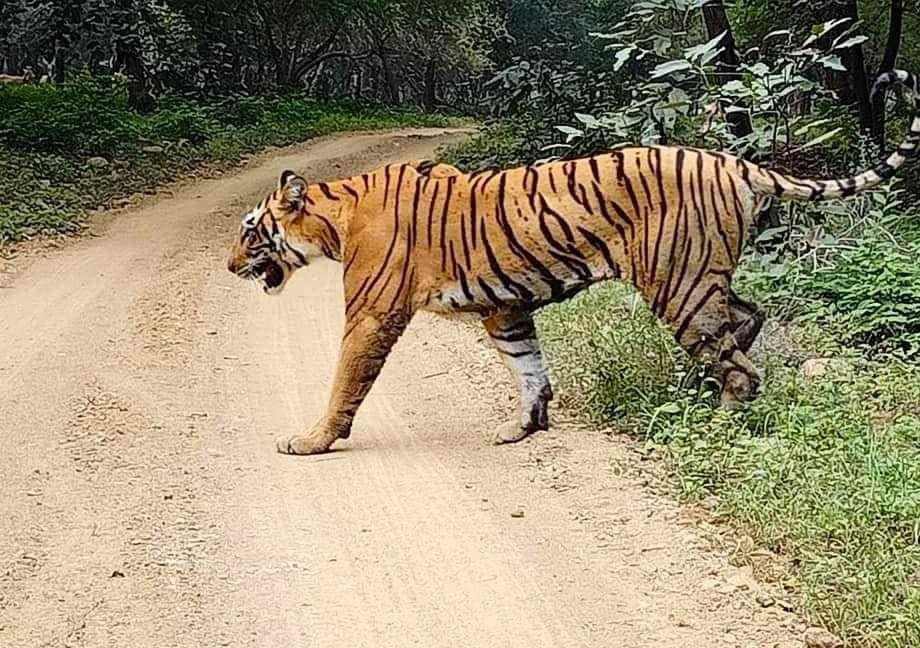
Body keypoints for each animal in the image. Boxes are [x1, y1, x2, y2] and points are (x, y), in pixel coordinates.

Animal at [227, 70, 919, 456]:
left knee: (743, 368)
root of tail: (733, 161)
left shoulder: (372, 314)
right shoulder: (505, 307)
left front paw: (313, 440)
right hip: (702, 281)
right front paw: (525, 427)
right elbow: (529, 368)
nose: (230, 266)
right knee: (747, 321)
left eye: (249, 232)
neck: (334, 219)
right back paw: (701, 385)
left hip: (680, 285)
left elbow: (345, 380)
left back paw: (716, 421)